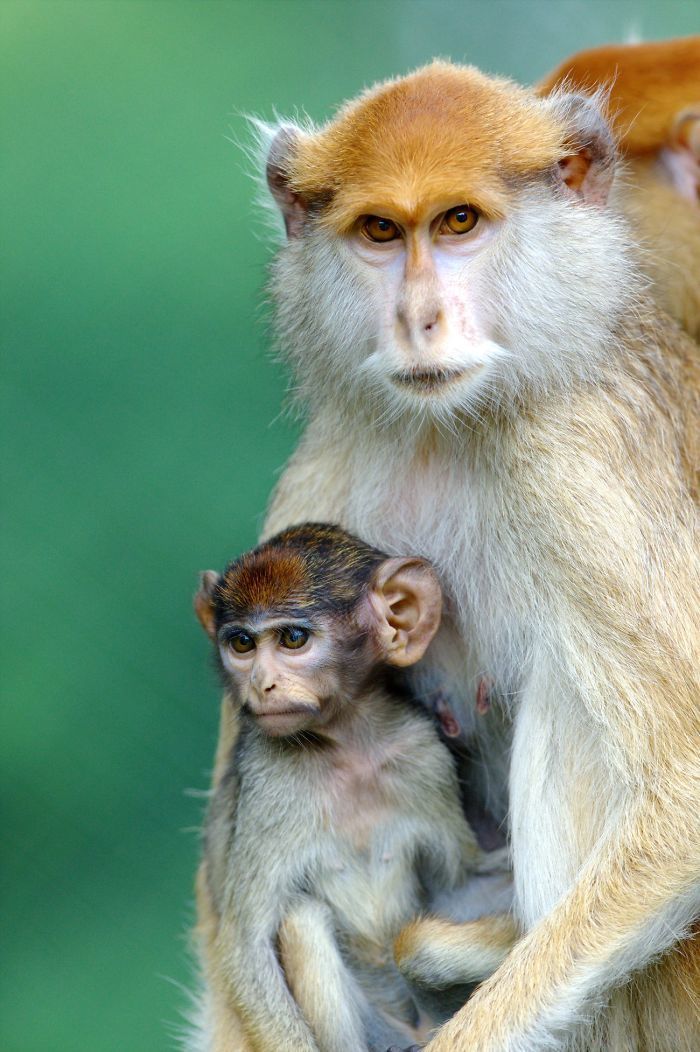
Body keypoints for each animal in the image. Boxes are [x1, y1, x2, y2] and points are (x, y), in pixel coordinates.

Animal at [194, 526, 513, 1052]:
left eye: (293, 638)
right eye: (241, 644)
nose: (262, 684)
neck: (348, 748)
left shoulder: (423, 755)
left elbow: (459, 883)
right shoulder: (268, 781)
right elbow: (246, 949)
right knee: (302, 922)